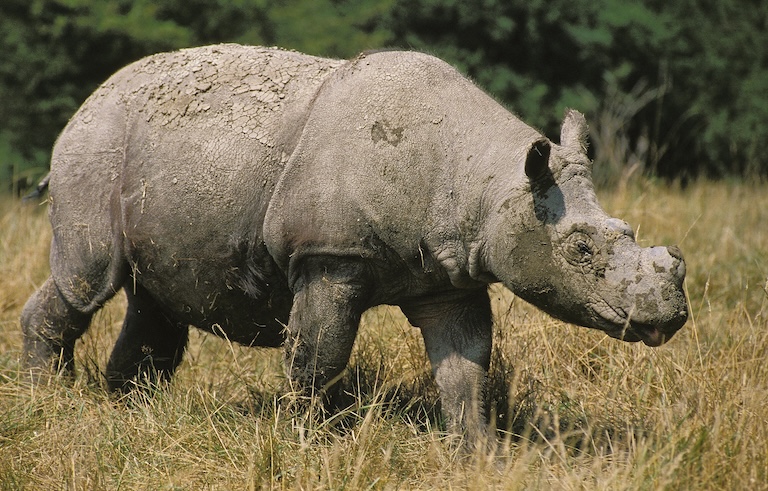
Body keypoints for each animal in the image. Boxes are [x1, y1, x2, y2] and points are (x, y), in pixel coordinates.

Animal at [21, 44, 688, 445]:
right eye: (579, 251)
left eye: (628, 235)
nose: (671, 315)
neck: (487, 181)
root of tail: (88, 101)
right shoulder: (331, 256)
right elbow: (319, 355)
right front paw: (302, 439)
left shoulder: (451, 273)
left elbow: (465, 365)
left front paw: (477, 452)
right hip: (95, 148)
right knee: (87, 281)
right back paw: (44, 399)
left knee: (155, 299)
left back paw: (129, 414)